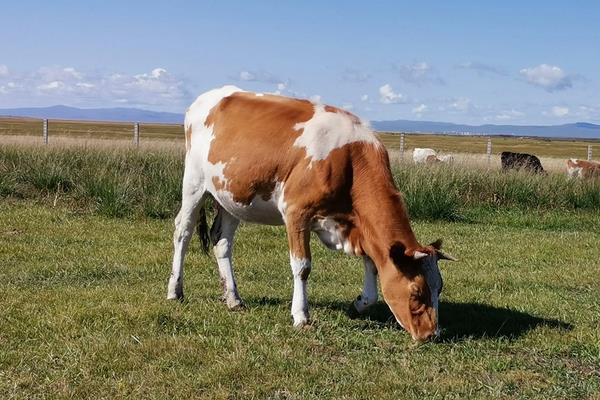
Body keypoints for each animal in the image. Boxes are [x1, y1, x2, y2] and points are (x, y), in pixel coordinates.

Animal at [166, 86, 458, 342]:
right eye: (416, 292)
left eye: (440, 287)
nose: (431, 334)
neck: (350, 160)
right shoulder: (296, 212)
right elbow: (302, 267)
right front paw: (301, 316)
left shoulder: (359, 228)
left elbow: (372, 266)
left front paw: (359, 304)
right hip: (194, 183)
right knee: (183, 232)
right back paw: (175, 291)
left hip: (231, 196)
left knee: (222, 242)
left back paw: (233, 298)